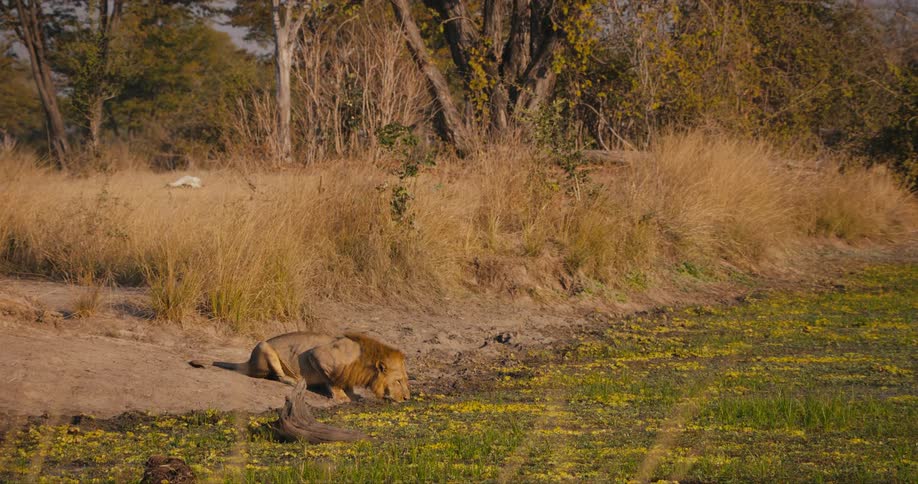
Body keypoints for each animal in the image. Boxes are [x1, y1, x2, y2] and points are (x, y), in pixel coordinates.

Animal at [190, 332, 409, 402]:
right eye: (399, 381)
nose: (407, 398)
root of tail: (249, 362)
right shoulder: (319, 355)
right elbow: (333, 380)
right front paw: (341, 396)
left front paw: (354, 395)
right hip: (263, 346)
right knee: (278, 376)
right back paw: (294, 380)